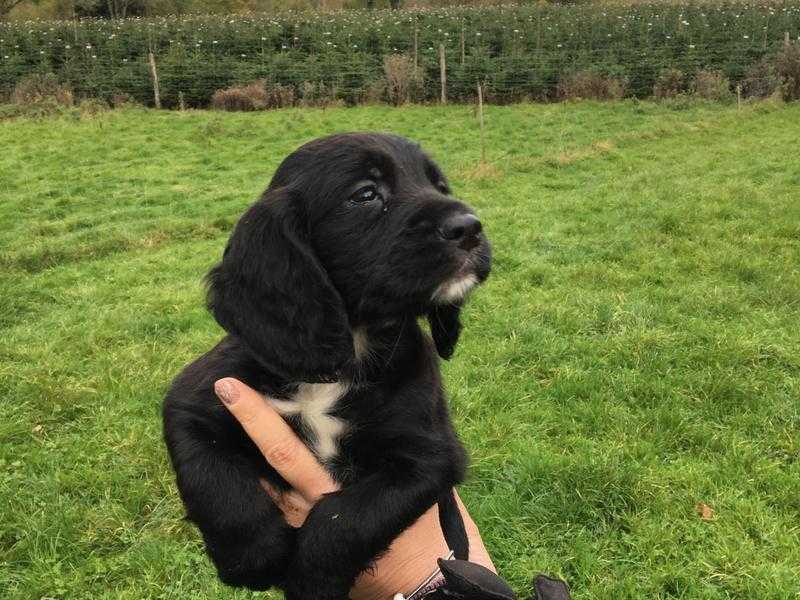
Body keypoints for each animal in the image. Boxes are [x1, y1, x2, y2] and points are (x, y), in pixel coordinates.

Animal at [162, 132, 488, 600]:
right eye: (366, 194)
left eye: (439, 185)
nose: (470, 227)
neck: (348, 351)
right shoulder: (195, 399)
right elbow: (214, 480)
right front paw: (252, 555)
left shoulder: (429, 457)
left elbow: (347, 518)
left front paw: (310, 578)